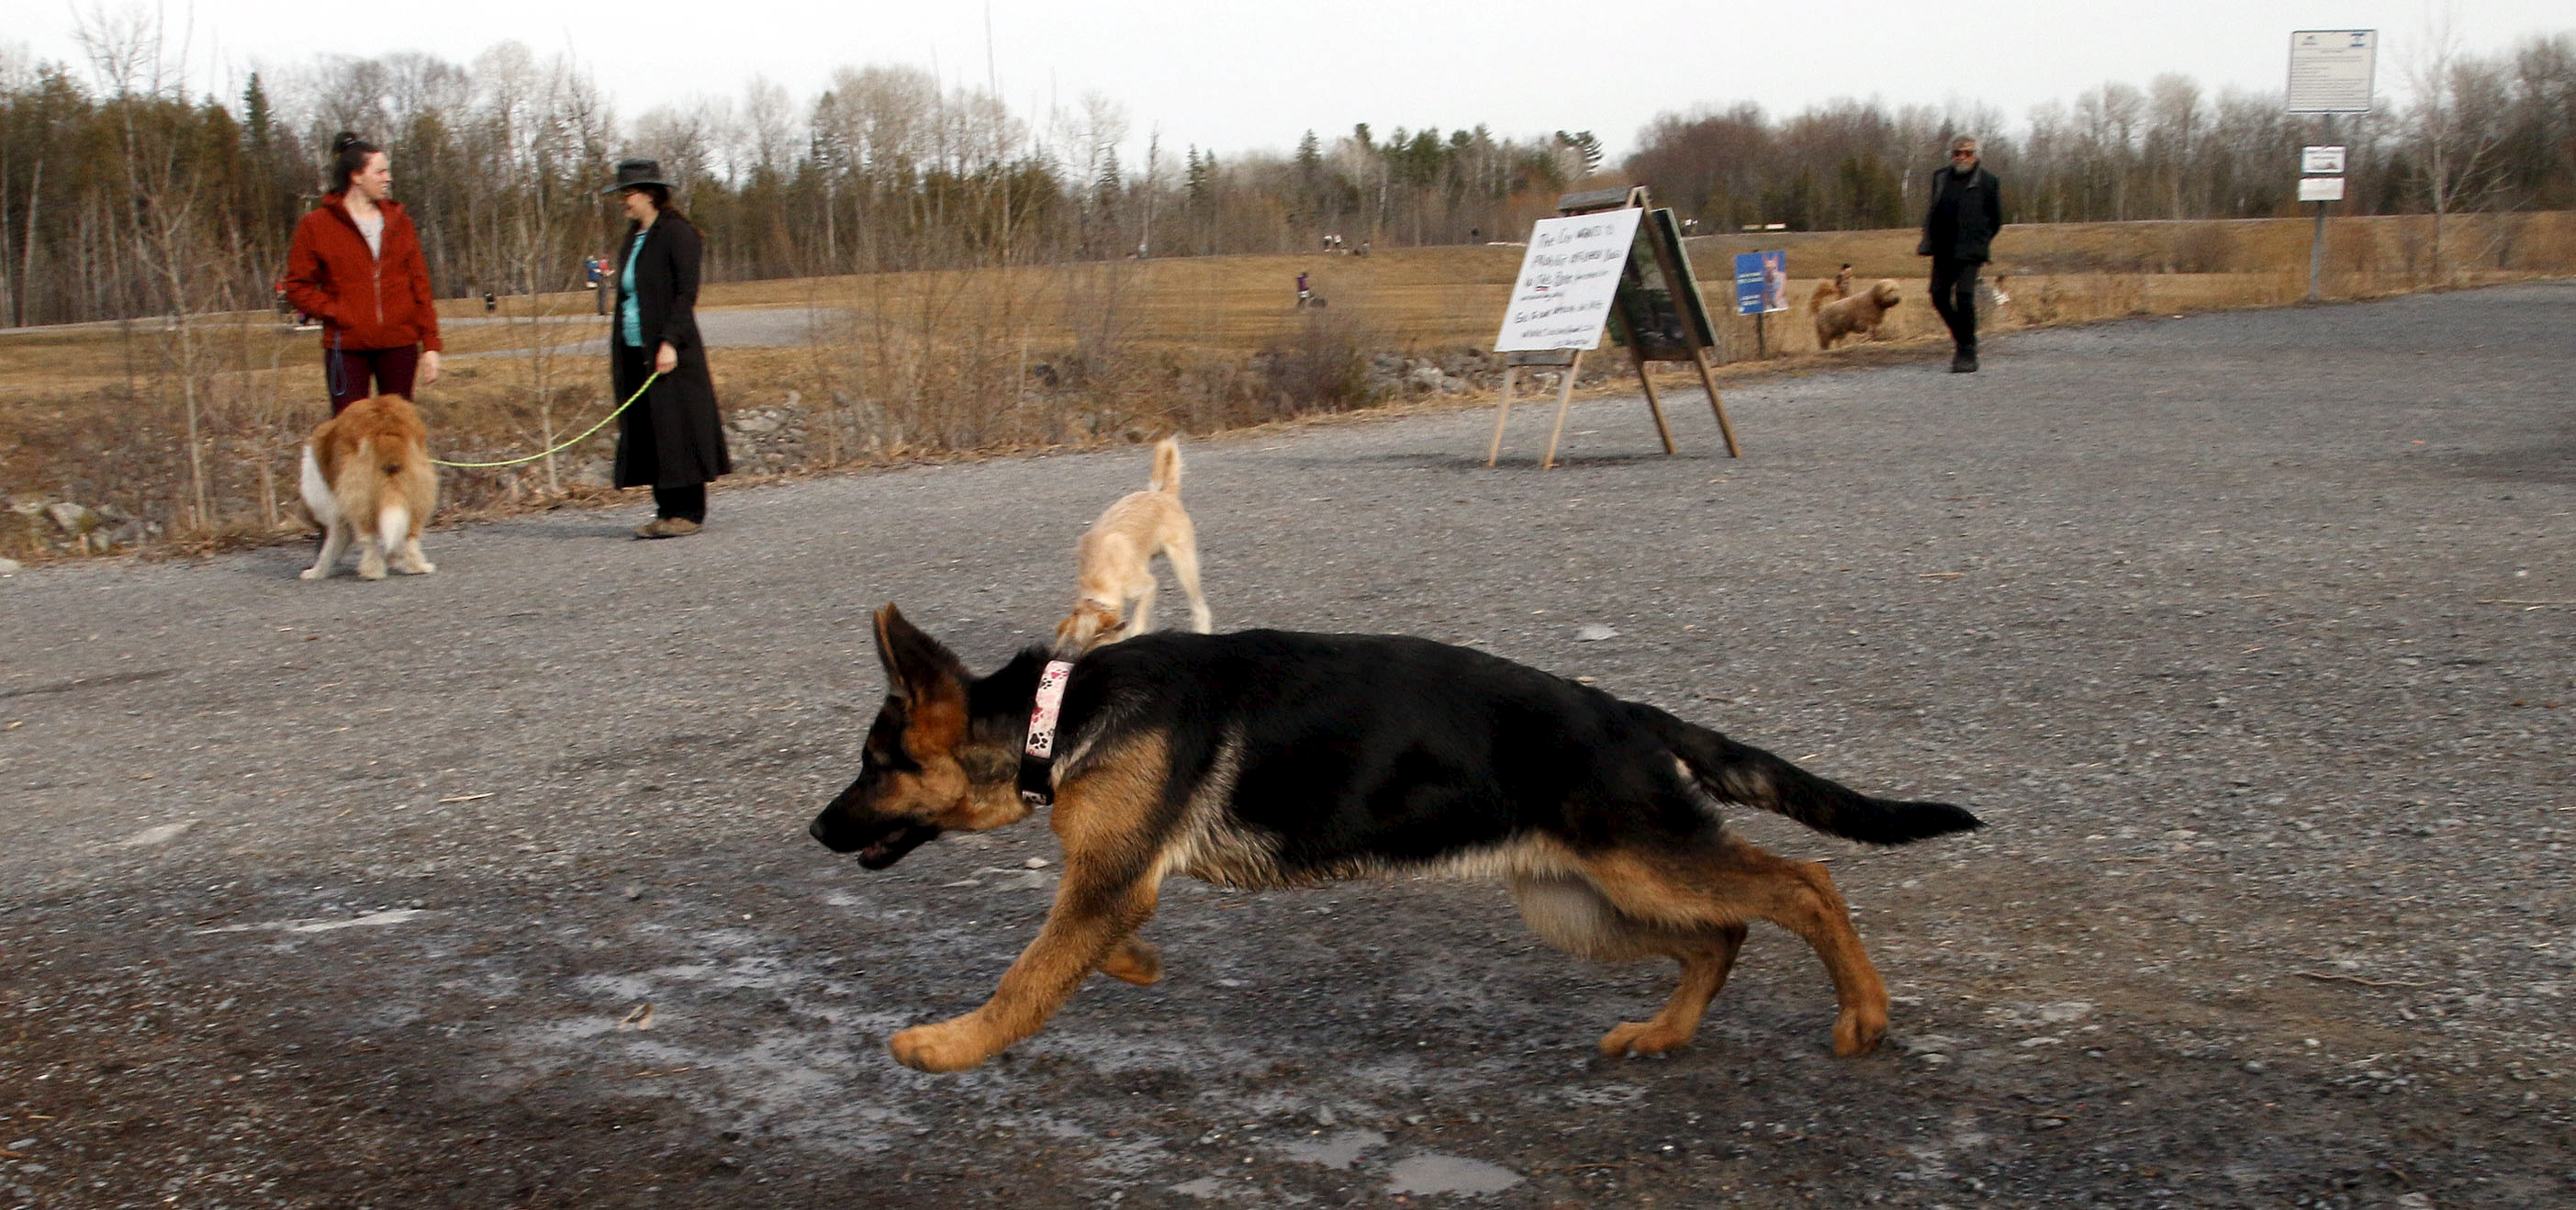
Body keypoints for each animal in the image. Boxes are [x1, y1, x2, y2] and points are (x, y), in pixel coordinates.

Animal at [299, 393, 437, 581]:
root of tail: (385, 422)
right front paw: (394, 559)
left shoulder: (339, 513)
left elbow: (329, 549)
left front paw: (315, 572)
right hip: (416, 486)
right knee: (410, 535)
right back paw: (417, 567)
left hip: (360, 494)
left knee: (369, 538)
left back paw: (372, 572)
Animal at [810, 604, 1981, 1073]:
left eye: (873, 766)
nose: (816, 828)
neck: (1056, 713)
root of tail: (1625, 713)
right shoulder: (1111, 881)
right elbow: (1074, 953)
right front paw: (1133, 967)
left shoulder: (1107, 879)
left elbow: (1024, 979)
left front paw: (948, 1046)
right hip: (1582, 902)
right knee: (1722, 932)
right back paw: (1663, 1031)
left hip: (1639, 861)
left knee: (1804, 882)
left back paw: (1864, 1012)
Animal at [1052, 437, 1212, 656]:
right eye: (1080, 650)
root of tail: (1165, 494)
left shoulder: (1148, 586)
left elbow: (1138, 623)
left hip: (1184, 566)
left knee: (1199, 606)